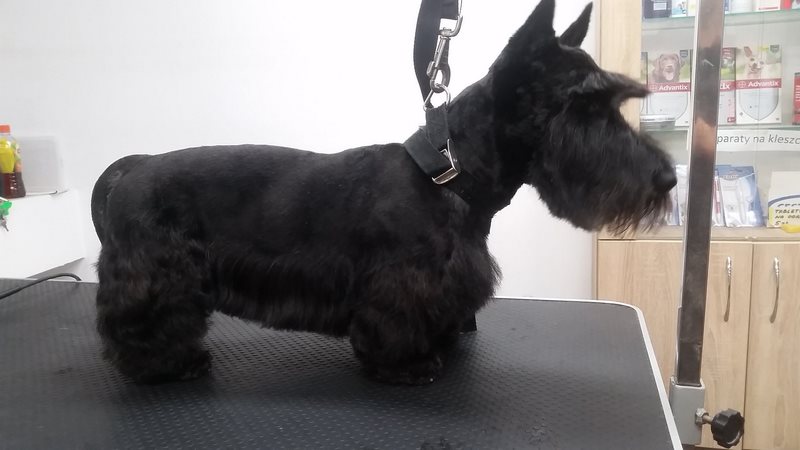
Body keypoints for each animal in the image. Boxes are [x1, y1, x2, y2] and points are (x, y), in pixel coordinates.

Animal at [91, 0, 677, 385]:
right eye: (585, 106)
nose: (667, 179)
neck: (449, 176)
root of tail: (132, 169)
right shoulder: (400, 283)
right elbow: (394, 324)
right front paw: (409, 364)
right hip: (160, 275)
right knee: (140, 323)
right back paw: (166, 363)